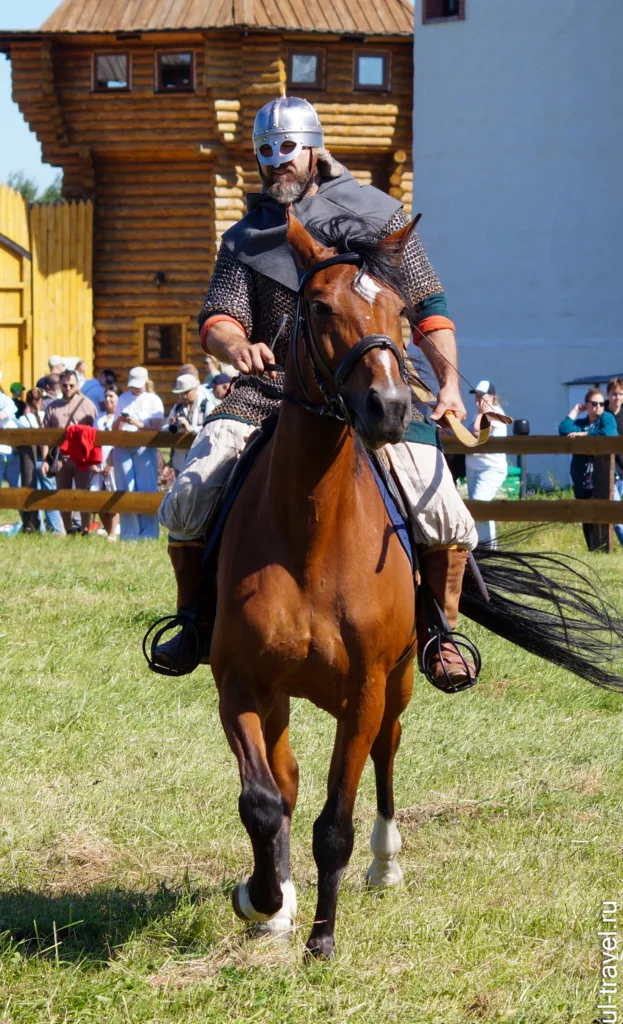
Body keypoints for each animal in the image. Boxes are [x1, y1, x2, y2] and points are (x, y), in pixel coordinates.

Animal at [212, 211, 420, 954]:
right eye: (323, 308)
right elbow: (263, 800)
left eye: (400, 313)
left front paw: (322, 942)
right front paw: (264, 898)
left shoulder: (365, 691)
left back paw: (386, 863)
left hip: (400, 681)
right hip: (279, 697)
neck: (310, 537)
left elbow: (334, 824)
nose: (389, 407)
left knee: (387, 750)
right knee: (287, 779)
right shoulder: (241, 683)